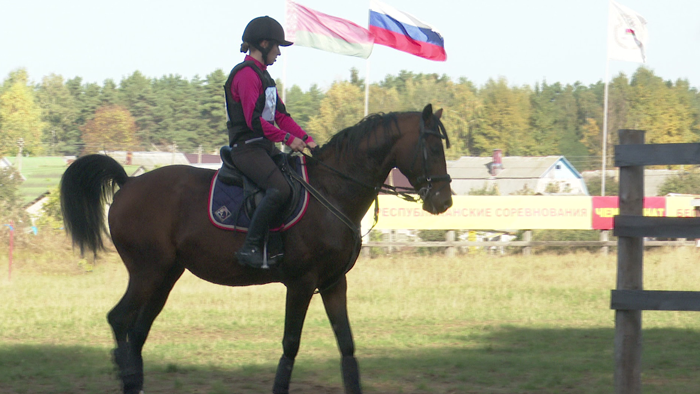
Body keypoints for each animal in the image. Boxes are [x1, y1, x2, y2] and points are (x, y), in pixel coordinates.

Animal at [60, 104, 454, 394]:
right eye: (433, 148)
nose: (444, 201)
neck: (331, 190)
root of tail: (128, 183)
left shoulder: (333, 283)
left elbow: (347, 345)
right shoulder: (301, 283)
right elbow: (290, 345)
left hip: (165, 275)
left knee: (138, 331)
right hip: (147, 272)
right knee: (119, 320)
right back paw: (127, 377)